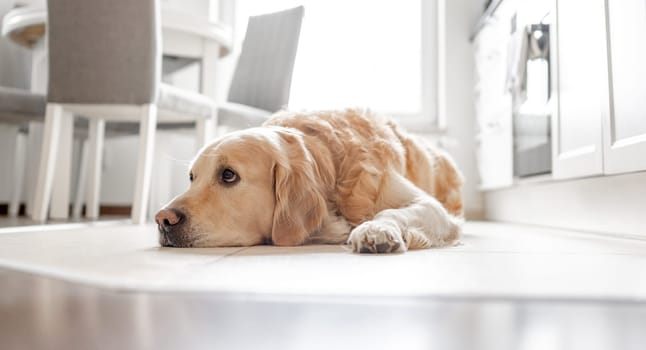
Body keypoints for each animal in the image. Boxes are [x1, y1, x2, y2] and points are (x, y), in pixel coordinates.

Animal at [154, 108, 464, 253]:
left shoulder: (432, 208)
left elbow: (391, 211)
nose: (162, 219)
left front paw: (375, 229)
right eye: (192, 178)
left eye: (228, 175)